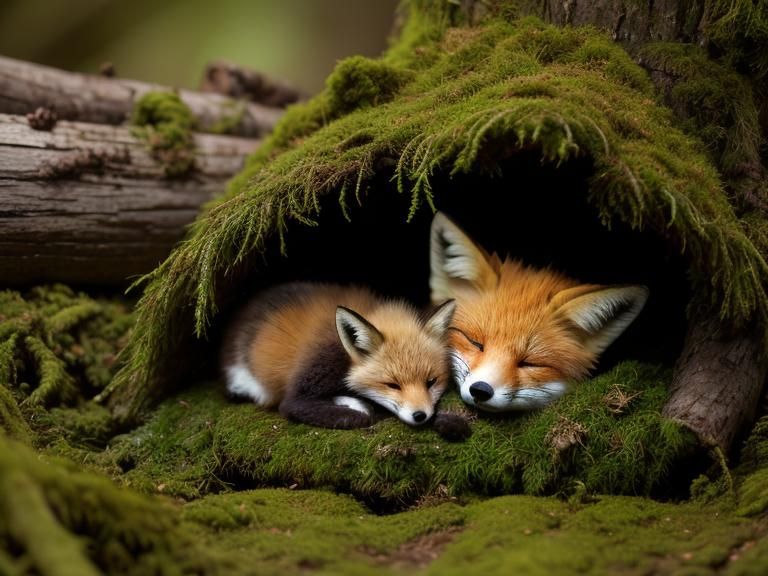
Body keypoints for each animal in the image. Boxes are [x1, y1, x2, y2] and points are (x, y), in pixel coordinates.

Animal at [221, 282, 457, 429]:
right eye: (392, 385)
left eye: (431, 382)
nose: (420, 415)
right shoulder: (314, 370)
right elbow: (358, 416)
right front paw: (358, 404)